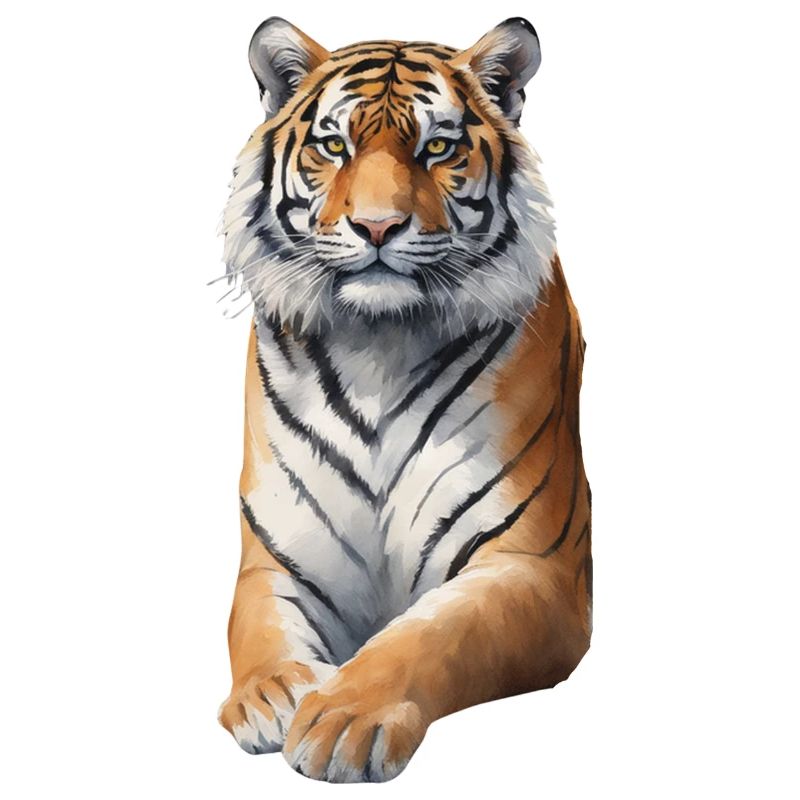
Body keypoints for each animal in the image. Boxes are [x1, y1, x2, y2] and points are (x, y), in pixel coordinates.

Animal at [217, 16, 592, 783]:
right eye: (334, 145)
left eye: (438, 147)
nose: (378, 227)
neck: (377, 348)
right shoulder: (279, 559)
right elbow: (259, 629)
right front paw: (271, 695)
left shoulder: (532, 568)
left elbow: (433, 635)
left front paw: (341, 717)